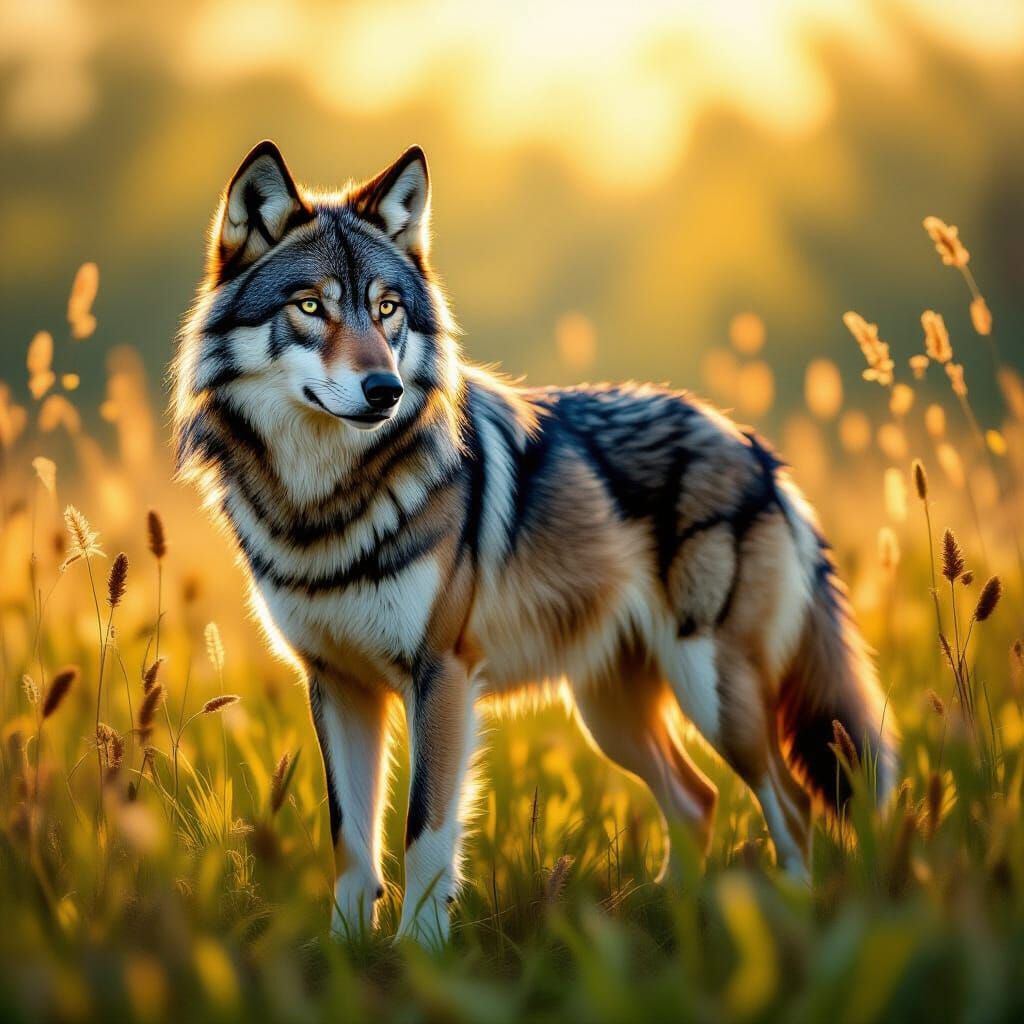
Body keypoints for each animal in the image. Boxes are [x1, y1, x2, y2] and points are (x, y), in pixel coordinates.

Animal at [173, 141, 897, 945]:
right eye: (310, 307)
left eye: (387, 310)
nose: (385, 390)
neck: (323, 505)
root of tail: (752, 446)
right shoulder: (336, 684)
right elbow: (350, 844)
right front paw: (344, 952)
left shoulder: (442, 676)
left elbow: (425, 830)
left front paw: (419, 952)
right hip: (612, 714)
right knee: (698, 800)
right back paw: (665, 917)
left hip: (713, 695)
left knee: (791, 807)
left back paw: (787, 925)